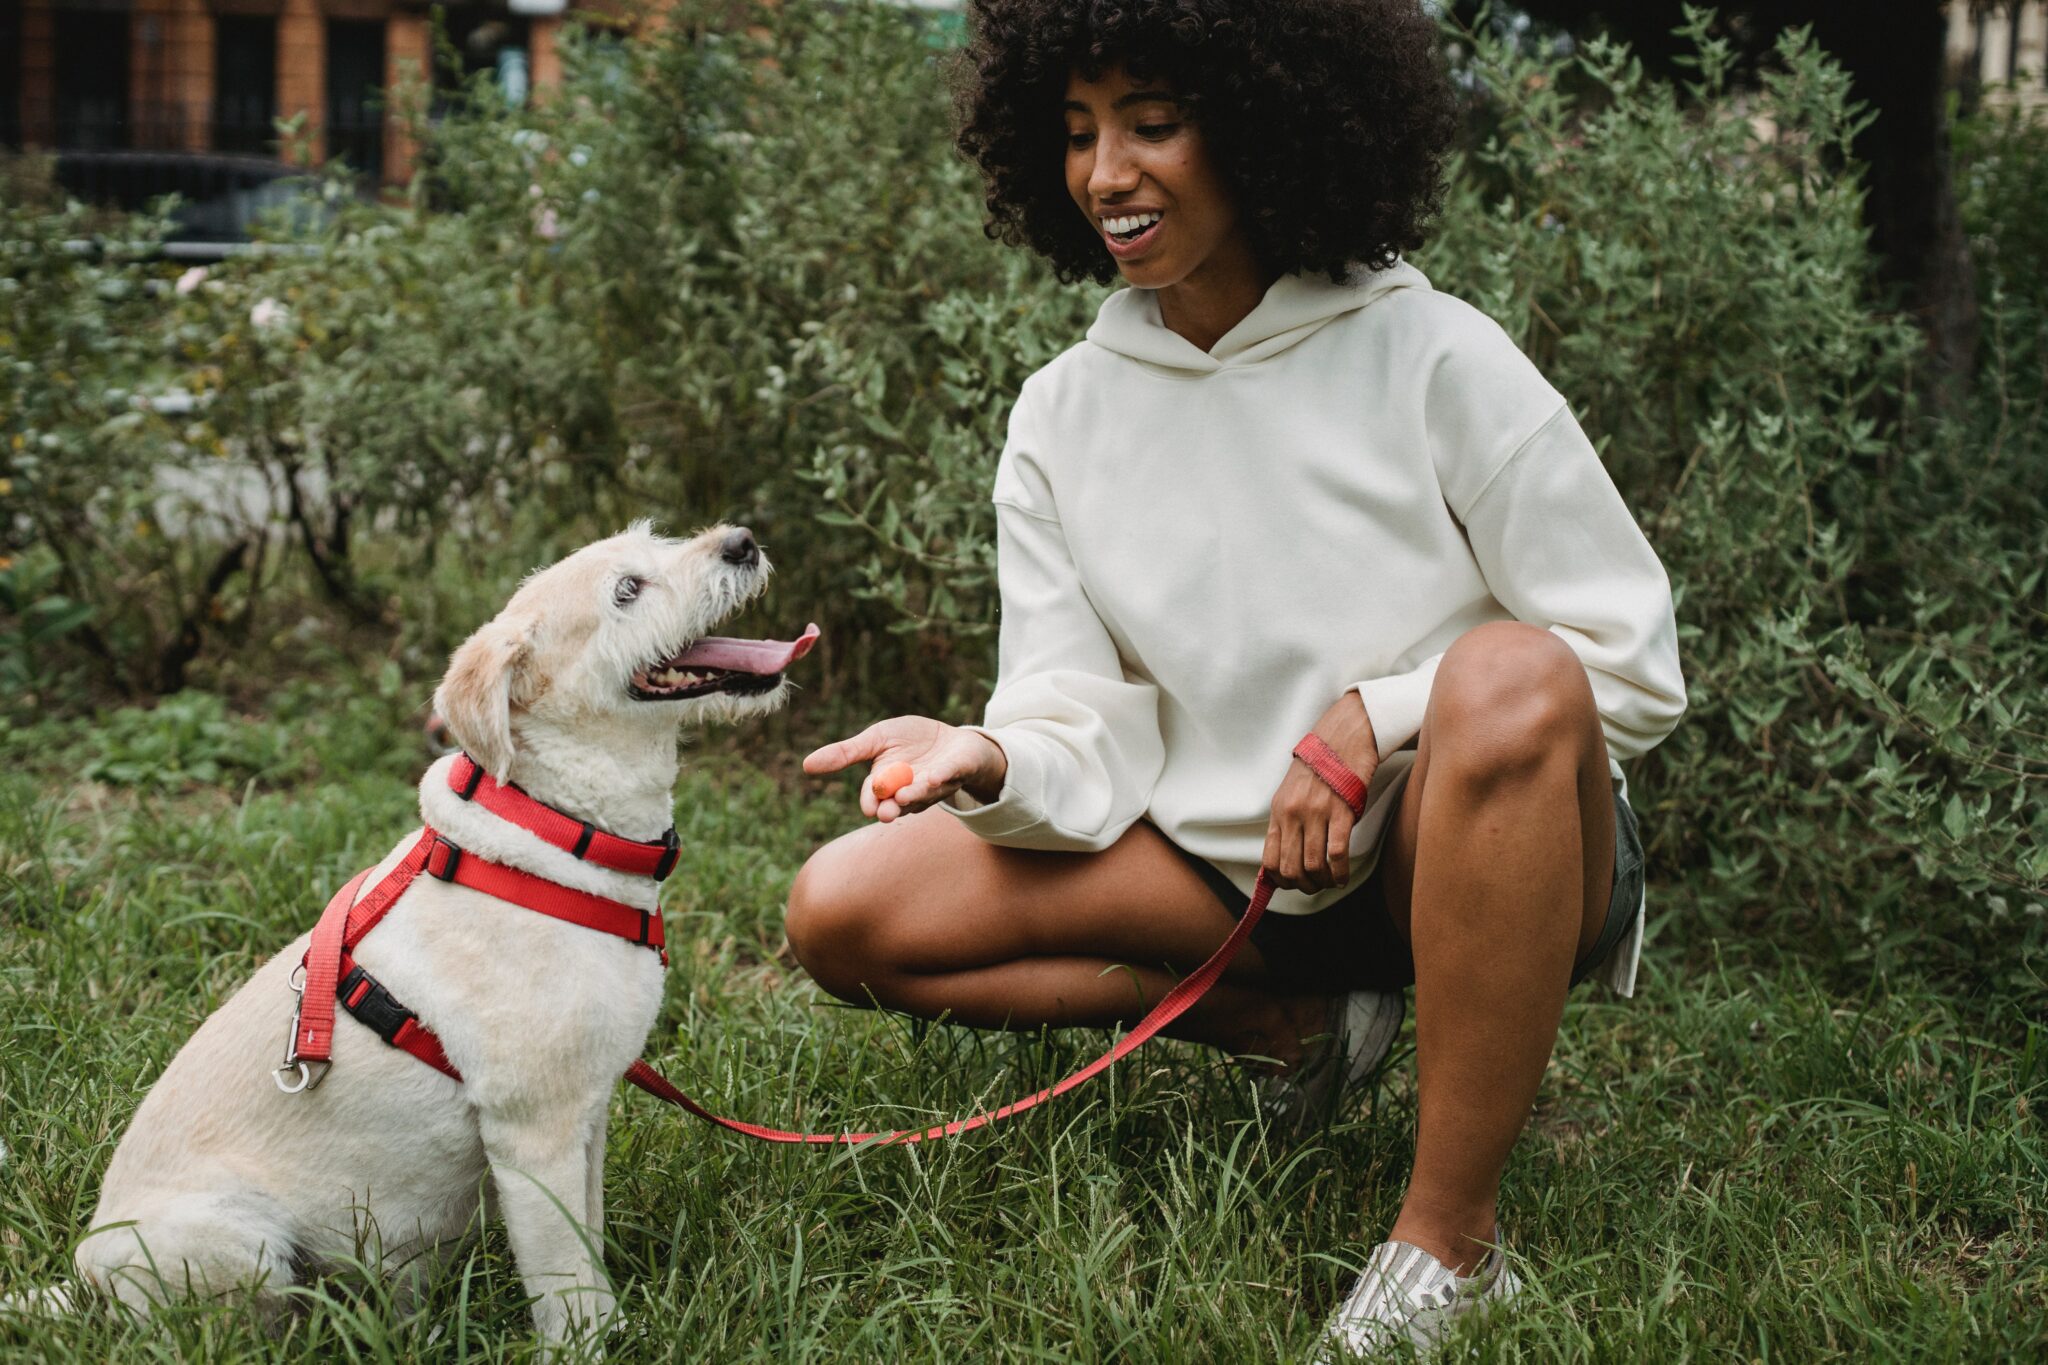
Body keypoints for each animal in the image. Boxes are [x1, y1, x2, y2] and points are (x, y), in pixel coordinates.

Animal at [32, 523, 811, 1342]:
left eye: (657, 538)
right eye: (627, 590)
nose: (742, 540)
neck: (559, 832)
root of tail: (80, 1288)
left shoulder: (587, 1116)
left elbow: (591, 1244)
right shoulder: (533, 1134)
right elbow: (568, 1285)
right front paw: (590, 1345)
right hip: (239, 1243)